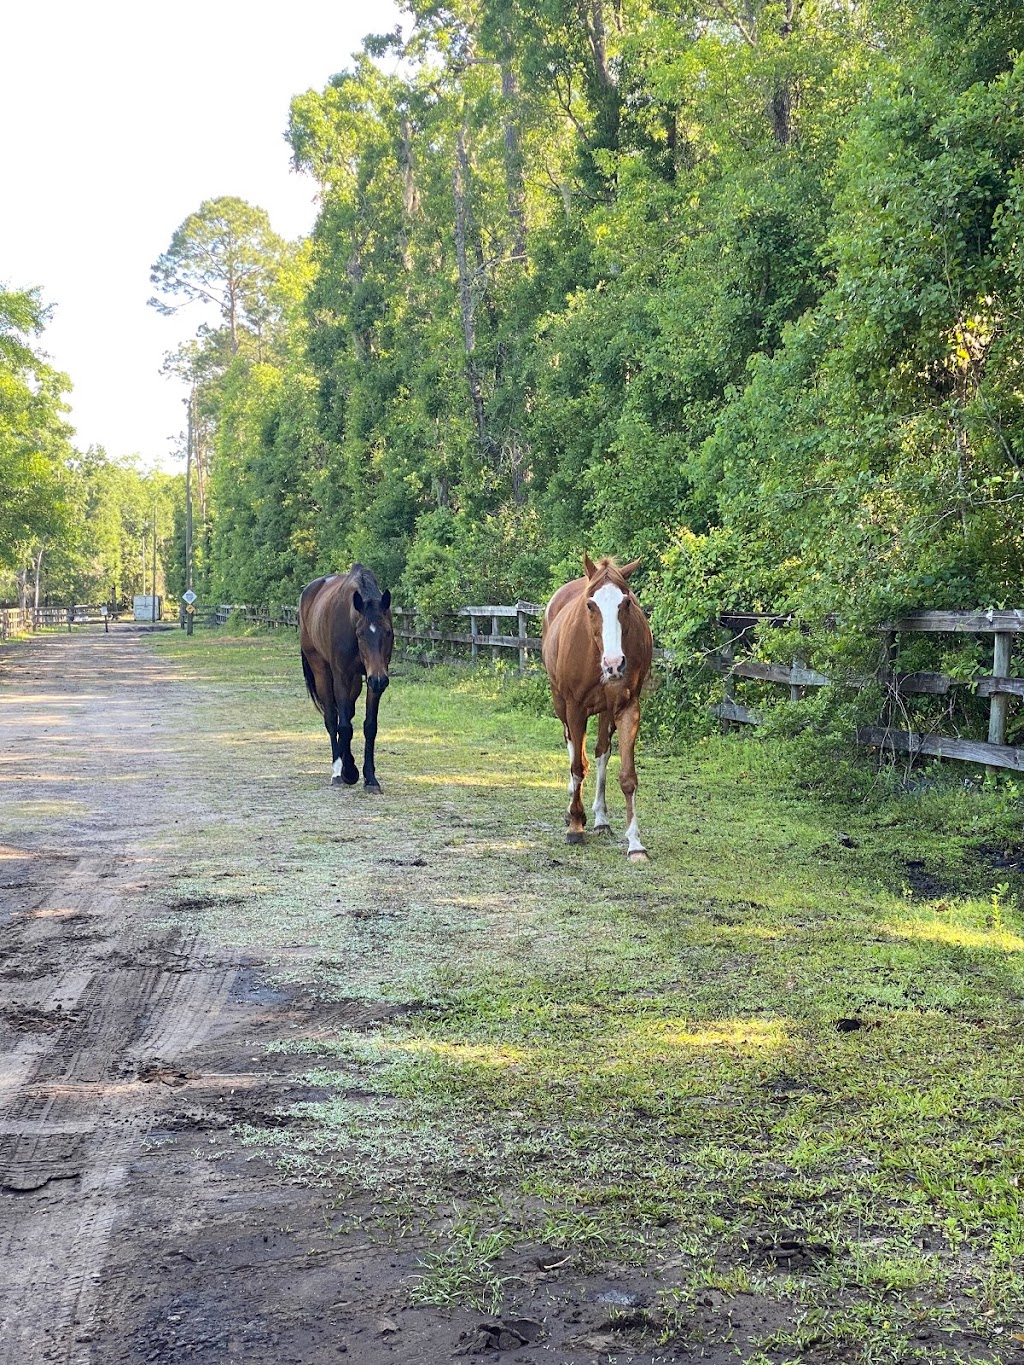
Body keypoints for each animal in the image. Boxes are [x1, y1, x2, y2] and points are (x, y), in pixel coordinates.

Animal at [299, 565, 395, 797]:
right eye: (360, 633)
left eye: (388, 632)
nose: (379, 679)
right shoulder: (342, 676)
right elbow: (343, 726)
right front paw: (349, 772)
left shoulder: (373, 680)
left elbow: (369, 726)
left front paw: (370, 779)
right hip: (322, 670)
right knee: (332, 719)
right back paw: (337, 770)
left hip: (357, 683)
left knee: (347, 714)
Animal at [540, 556, 652, 857]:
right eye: (591, 605)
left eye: (626, 603)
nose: (614, 664)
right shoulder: (574, 707)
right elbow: (577, 766)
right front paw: (575, 826)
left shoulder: (627, 707)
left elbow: (627, 776)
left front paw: (635, 844)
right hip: (561, 704)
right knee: (572, 746)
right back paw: (572, 810)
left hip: (605, 711)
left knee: (602, 752)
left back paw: (601, 819)